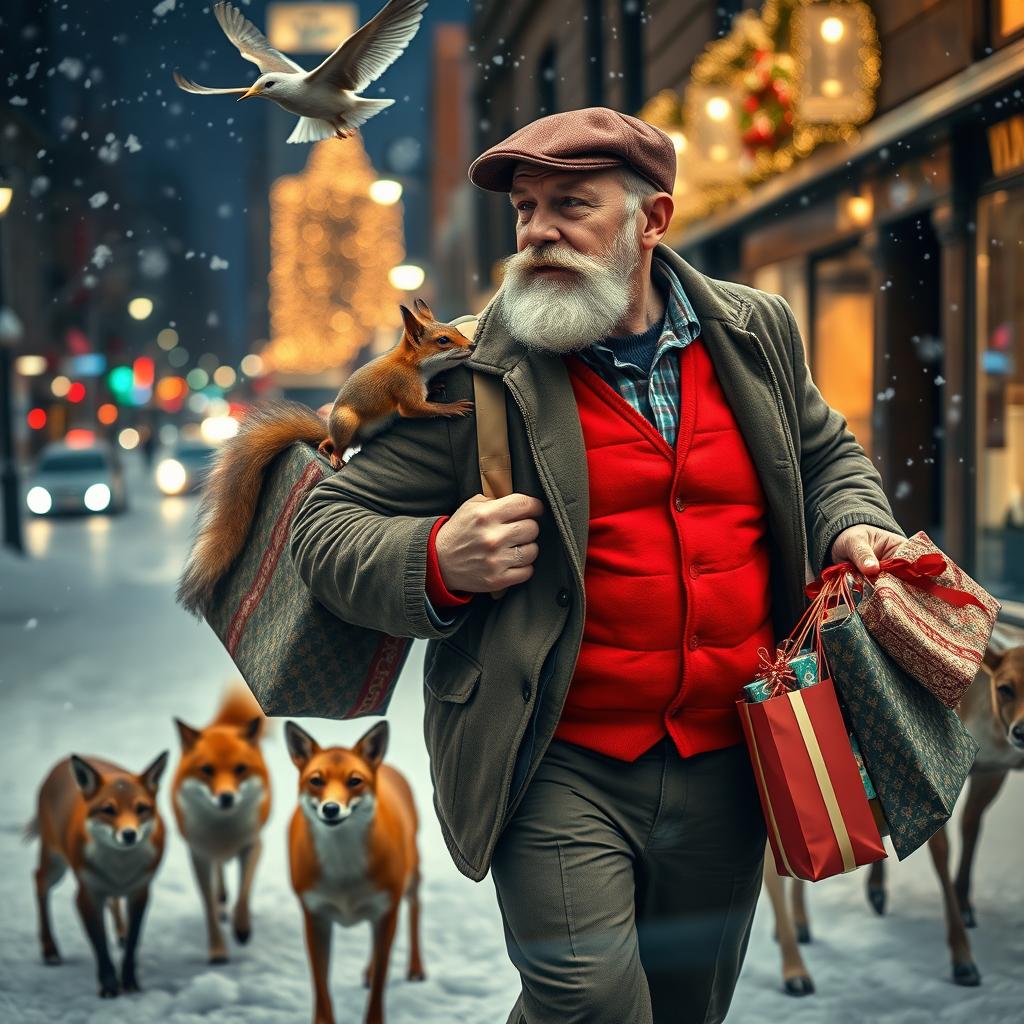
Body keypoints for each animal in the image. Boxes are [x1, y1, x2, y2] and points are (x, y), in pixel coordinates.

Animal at [28, 749, 169, 995]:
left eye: (141, 809)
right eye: (108, 810)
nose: (129, 834)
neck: (120, 867)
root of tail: (63, 761)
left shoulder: (140, 891)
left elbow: (133, 942)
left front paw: (130, 982)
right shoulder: (86, 894)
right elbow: (99, 943)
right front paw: (110, 986)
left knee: (113, 900)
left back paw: (120, 932)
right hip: (55, 863)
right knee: (39, 881)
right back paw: (50, 949)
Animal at [172, 684, 270, 962]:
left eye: (240, 769)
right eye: (207, 770)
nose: (226, 797)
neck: (223, 830)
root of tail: (223, 725)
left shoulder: (253, 846)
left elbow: (244, 893)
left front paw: (242, 928)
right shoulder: (199, 855)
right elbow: (209, 906)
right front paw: (217, 950)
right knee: (220, 877)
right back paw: (222, 898)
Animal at [175, 296, 475, 614]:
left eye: (455, 332)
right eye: (442, 340)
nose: (470, 346)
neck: (411, 364)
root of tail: (332, 428)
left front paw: (438, 387)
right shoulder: (404, 391)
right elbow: (417, 410)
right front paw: (451, 407)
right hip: (347, 422)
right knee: (331, 444)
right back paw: (333, 456)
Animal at [284, 720, 423, 1024]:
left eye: (354, 781)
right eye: (316, 781)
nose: (331, 809)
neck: (343, 874)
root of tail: (386, 766)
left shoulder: (387, 909)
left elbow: (380, 985)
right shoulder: (315, 916)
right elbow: (321, 988)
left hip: (409, 881)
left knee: (416, 909)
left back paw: (416, 967)